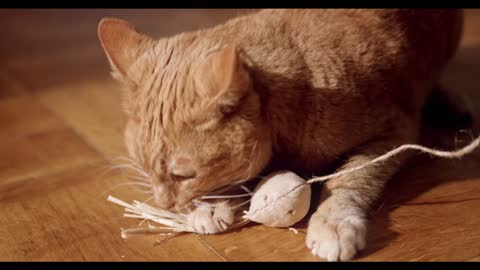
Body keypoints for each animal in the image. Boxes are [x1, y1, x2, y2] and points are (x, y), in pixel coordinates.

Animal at [98, 9, 464, 260]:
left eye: (183, 175)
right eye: (143, 167)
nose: (164, 203)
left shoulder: (396, 131)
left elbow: (348, 178)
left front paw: (332, 220)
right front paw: (215, 203)